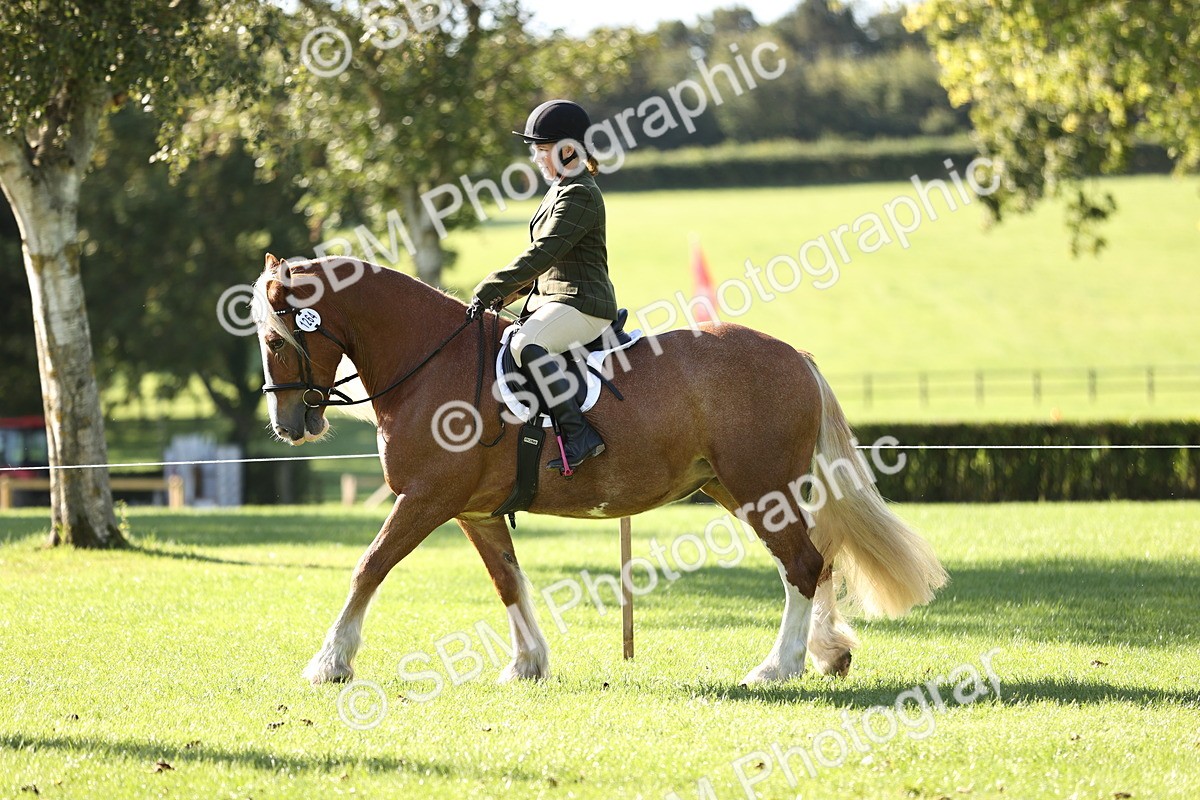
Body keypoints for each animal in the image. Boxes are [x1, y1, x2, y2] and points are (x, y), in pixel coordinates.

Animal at [252, 253, 947, 686]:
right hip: (738, 488)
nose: (289, 425)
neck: (431, 362)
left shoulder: (426, 498)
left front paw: (330, 663)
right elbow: (508, 581)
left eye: (276, 339)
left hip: (760, 488)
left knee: (802, 564)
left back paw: (779, 668)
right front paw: (528, 664)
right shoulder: (474, 511)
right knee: (815, 561)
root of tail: (796, 356)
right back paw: (827, 654)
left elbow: (369, 566)